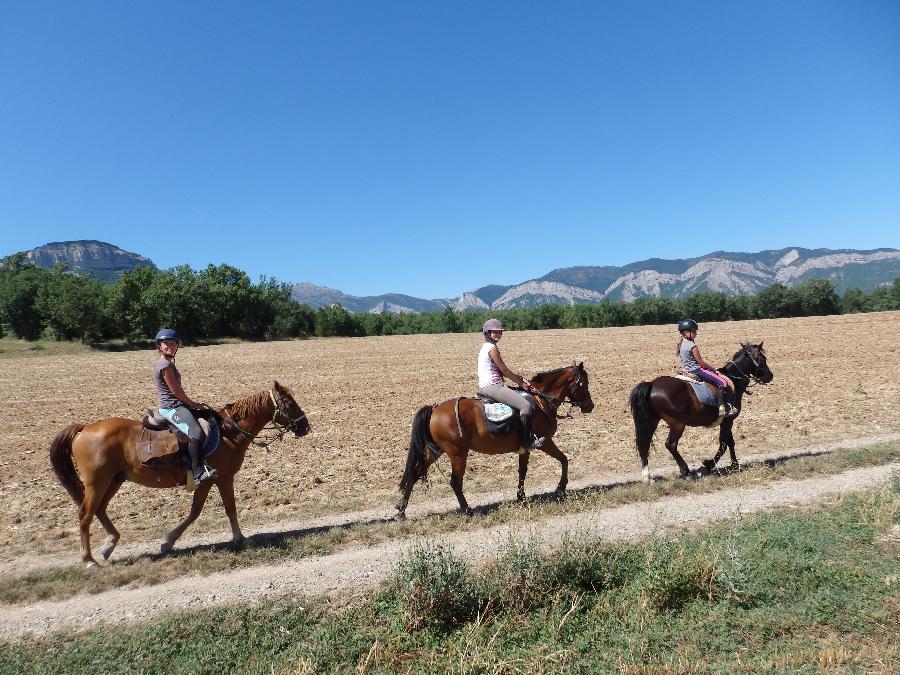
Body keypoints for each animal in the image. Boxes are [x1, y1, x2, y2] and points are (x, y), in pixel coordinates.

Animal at [49, 382, 312, 568]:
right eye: (289, 402)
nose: (306, 426)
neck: (229, 432)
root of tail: (84, 428)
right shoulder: (221, 478)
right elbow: (225, 508)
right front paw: (240, 538)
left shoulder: (210, 481)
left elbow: (198, 511)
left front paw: (168, 542)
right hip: (97, 482)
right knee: (85, 515)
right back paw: (89, 560)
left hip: (114, 480)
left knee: (100, 510)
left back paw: (109, 545)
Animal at [398, 364, 596, 516]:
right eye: (584, 383)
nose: (590, 406)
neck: (540, 401)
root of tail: (434, 409)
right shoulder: (545, 442)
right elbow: (564, 459)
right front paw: (560, 488)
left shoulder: (525, 448)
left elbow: (522, 471)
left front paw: (521, 497)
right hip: (458, 454)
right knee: (455, 482)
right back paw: (468, 510)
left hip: (434, 452)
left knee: (414, 474)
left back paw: (401, 512)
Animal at [628, 344, 768, 480]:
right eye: (762, 359)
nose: (770, 376)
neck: (732, 380)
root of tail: (651, 384)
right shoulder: (728, 420)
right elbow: (726, 443)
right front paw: (721, 464)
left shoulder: (726, 422)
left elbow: (727, 442)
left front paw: (721, 464)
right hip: (677, 424)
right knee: (671, 444)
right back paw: (686, 472)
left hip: (652, 421)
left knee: (645, 444)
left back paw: (647, 476)